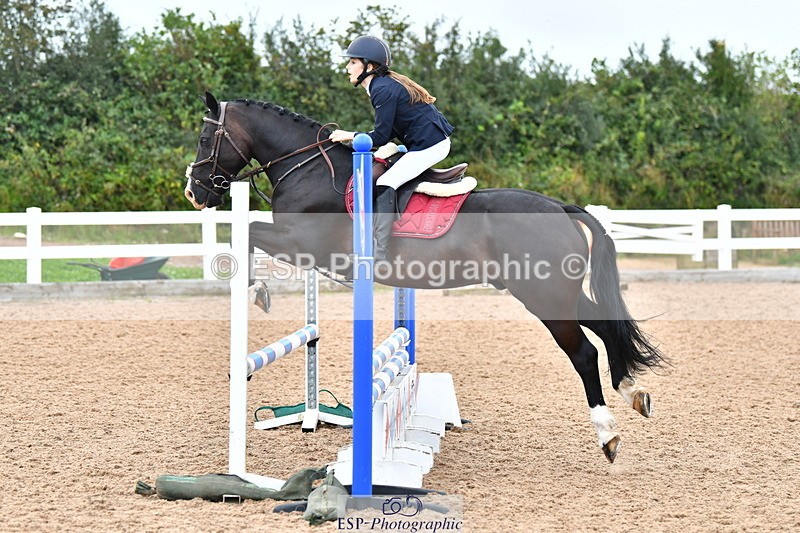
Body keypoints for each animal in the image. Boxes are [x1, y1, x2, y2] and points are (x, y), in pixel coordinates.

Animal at [185, 91, 666, 463]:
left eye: (206, 138)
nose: (195, 192)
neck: (309, 168)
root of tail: (561, 207)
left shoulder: (301, 242)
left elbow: (249, 232)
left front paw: (258, 291)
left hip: (544, 298)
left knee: (584, 353)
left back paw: (608, 434)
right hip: (556, 294)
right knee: (606, 326)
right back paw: (633, 393)